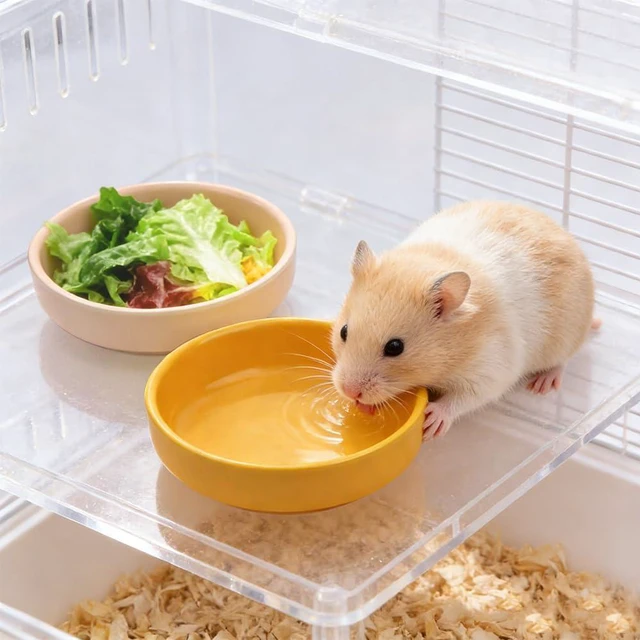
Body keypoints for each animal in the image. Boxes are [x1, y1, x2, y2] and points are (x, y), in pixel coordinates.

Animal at [331, 200, 596, 440]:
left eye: (395, 347)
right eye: (343, 331)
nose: (350, 392)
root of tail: (563, 233)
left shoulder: (491, 368)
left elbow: (465, 398)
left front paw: (431, 421)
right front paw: (364, 406)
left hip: (566, 336)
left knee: (562, 361)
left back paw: (542, 383)